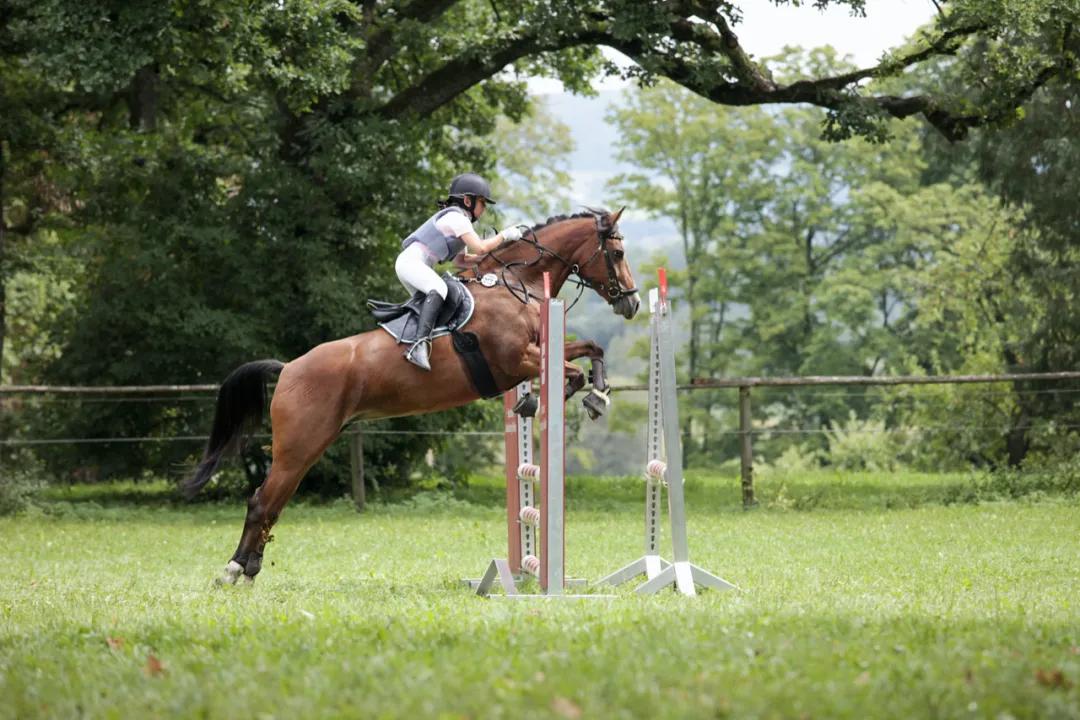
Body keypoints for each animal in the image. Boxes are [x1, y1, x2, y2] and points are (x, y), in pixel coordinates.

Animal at [183, 205, 639, 582]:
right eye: (616, 253)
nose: (632, 303)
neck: (515, 283)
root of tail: (288, 368)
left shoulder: (539, 348)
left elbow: (592, 350)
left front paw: (598, 394)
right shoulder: (517, 359)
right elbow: (570, 372)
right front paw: (554, 399)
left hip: (308, 447)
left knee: (274, 503)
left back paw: (249, 568)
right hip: (298, 446)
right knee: (262, 501)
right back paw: (233, 569)